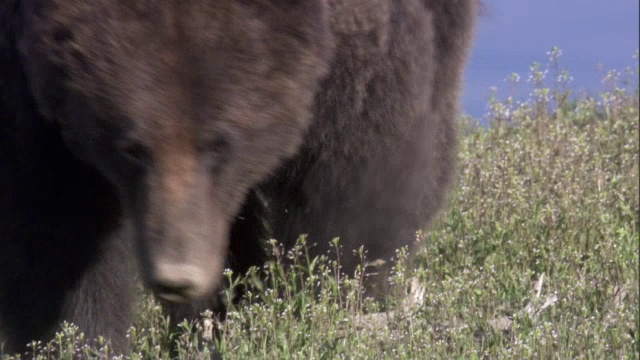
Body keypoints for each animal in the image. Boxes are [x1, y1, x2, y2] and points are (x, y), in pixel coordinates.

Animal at [0, 0, 478, 354]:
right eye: (132, 148)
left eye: (221, 144)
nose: (177, 274)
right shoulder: (36, 79)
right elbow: (56, 220)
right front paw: (77, 338)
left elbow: (359, 176)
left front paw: (324, 302)